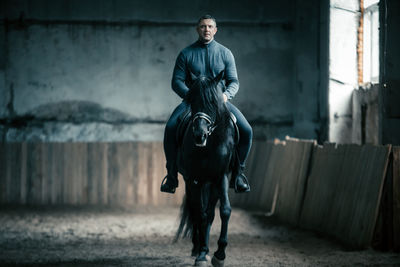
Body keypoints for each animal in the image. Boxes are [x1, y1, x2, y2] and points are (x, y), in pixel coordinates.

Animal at [174, 71, 238, 267]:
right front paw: (202, 253)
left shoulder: (221, 177)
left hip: (211, 184)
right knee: (196, 211)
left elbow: (224, 211)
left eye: (213, 102)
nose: (199, 135)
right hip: (192, 182)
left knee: (209, 213)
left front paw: (219, 254)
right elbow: (200, 215)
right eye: (192, 100)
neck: (209, 144)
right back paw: (197, 248)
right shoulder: (194, 179)